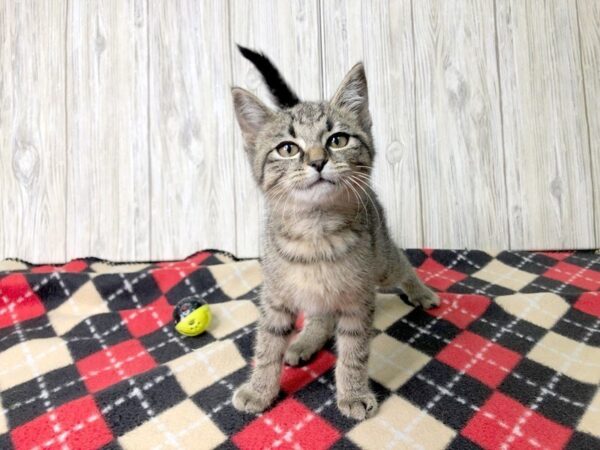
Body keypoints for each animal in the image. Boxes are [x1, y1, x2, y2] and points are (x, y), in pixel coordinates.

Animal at [230, 47, 436, 420]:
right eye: (287, 148)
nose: (317, 161)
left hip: (382, 263)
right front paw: (259, 390)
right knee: (320, 315)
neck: (316, 231)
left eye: (337, 140)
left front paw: (352, 392)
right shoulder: (275, 296)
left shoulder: (357, 298)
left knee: (401, 263)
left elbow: (354, 352)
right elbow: (267, 345)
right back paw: (305, 340)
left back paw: (421, 291)